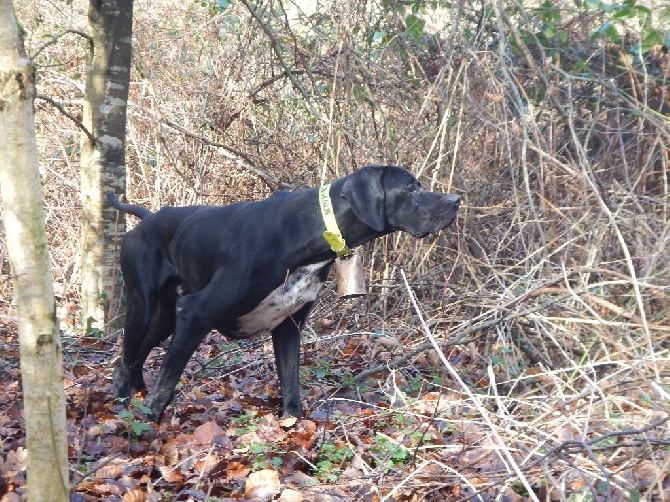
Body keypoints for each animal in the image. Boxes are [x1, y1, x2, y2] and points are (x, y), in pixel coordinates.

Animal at [107, 165, 460, 420]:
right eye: (410, 188)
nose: (456, 201)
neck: (312, 231)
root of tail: (149, 217)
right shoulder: (195, 312)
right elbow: (168, 380)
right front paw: (150, 423)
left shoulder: (289, 325)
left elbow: (290, 382)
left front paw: (294, 425)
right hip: (144, 307)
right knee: (125, 360)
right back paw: (124, 406)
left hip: (165, 317)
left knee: (136, 356)